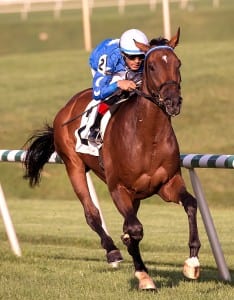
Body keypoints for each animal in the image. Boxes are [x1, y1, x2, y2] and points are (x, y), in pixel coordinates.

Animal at [23, 28, 201, 290]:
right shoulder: (118, 188)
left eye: (177, 64)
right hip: (74, 166)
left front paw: (192, 261)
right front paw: (144, 276)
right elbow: (135, 229)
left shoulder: (167, 184)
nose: (172, 102)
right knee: (91, 213)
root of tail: (67, 107)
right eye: (152, 67)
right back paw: (111, 250)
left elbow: (190, 205)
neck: (147, 137)